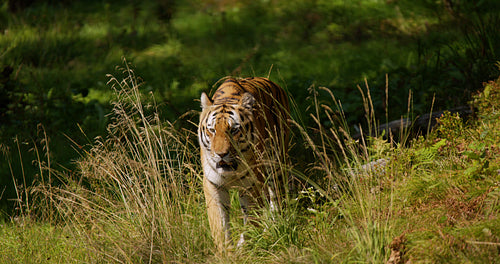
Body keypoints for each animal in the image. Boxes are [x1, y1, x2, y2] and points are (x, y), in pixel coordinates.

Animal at [196, 76, 290, 250]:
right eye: (212, 130)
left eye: (234, 130)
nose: (221, 154)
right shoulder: (213, 185)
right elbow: (219, 225)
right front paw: (226, 251)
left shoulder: (252, 185)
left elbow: (252, 220)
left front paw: (244, 246)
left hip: (277, 162)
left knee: (277, 198)